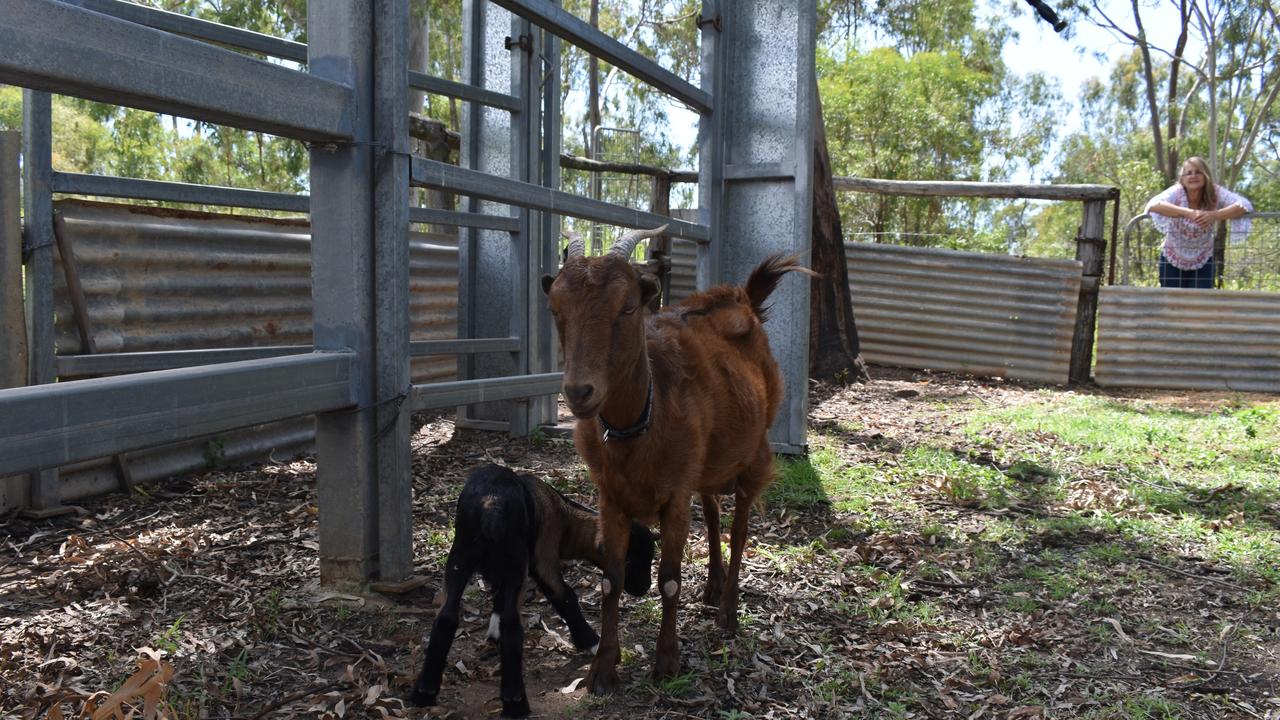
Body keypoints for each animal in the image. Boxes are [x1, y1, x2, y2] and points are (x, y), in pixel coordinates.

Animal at [540, 226, 808, 691]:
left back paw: (727, 612)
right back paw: (713, 587)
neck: (641, 422)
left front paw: (666, 662)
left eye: (628, 306)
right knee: (714, 511)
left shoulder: (675, 495)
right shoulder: (610, 498)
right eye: (556, 309)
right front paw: (602, 669)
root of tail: (741, 297)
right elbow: (610, 581)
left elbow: (668, 580)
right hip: (709, 459)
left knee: (739, 530)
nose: (579, 392)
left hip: (753, 450)